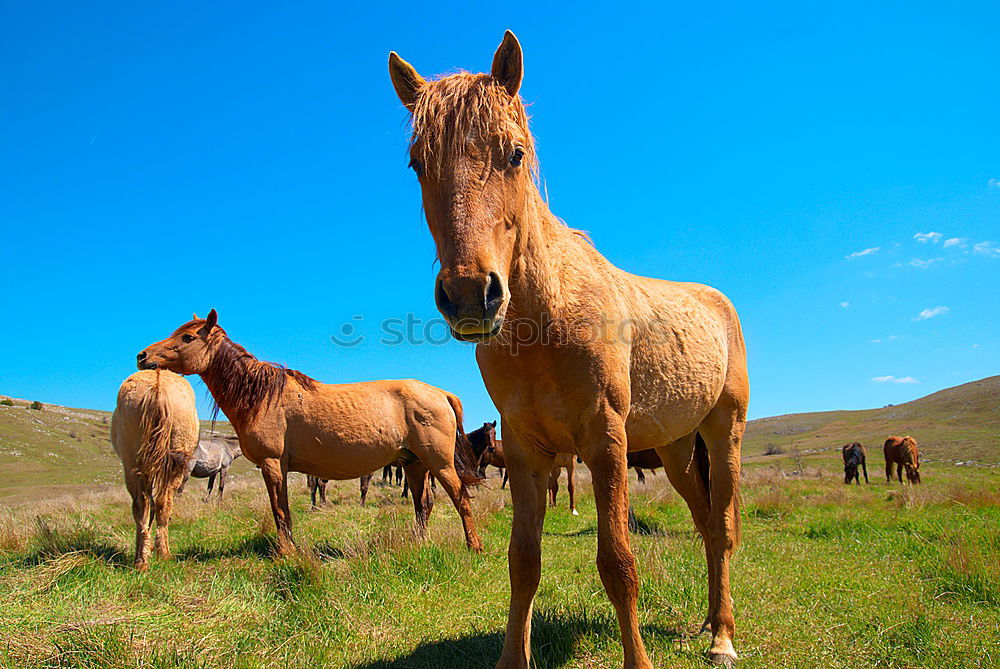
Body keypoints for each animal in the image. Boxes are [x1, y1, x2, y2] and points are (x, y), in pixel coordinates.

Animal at [111, 370, 199, 568]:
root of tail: (157, 386)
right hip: (172, 460)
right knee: (160, 503)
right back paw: (154, 555)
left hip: (133, 463)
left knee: (143, 505)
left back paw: (146, 557)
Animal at [138, 310, 484, 552]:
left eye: (188, 338)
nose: (142, 356)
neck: (261, 396)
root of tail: (440, 393)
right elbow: (284, 510)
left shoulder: (272, 464)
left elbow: (280, 511)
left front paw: (286, 552)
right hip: (414, 464)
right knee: (423, 505)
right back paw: (419, 544)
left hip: (439, 463)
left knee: (460, 498)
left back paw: (474, 546)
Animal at [390, 32, 752, 668]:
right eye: (417, 165)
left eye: (513, 155)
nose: (470, 295)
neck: (548, 318)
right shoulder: (527, 451)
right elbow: (523, 562)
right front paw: (512, 658)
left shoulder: (605, 443)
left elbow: (618, 564)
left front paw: (639, 660)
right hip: (677, 449)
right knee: (708, 526)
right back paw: (710, 623)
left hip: (722, 432)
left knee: (725, 528)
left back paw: (724, 637)